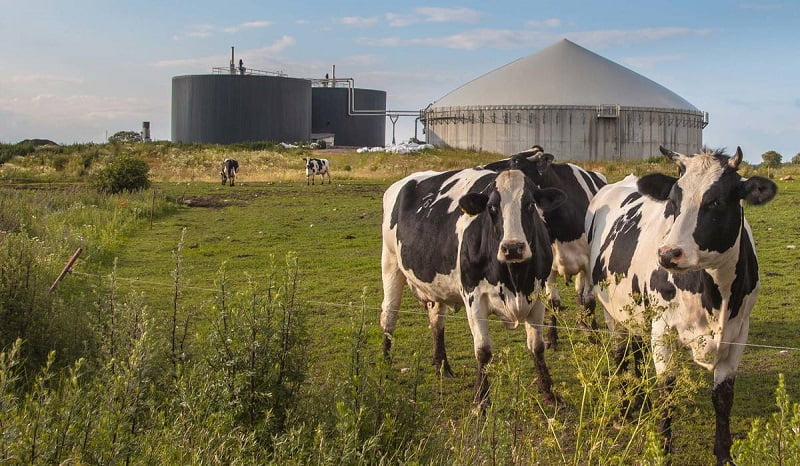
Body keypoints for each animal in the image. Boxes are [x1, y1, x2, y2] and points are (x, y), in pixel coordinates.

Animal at [380, 155, 567, 407]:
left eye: (529, 205)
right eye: (491, 208)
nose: (513, 248)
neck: (514, 279)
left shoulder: (536, 296)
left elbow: (536, 347)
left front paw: (549, 392)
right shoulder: (474, 297)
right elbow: (483, 351)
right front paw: (480, 400)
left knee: (436, 321)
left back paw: (442, 366)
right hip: (390, 263)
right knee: (389, 314)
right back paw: (385, 364)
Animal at [484, 145, 607, 349]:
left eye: (516, 162)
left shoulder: (589, 263)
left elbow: (589, 300)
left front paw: (594, 335)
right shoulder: (549, 266)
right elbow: (553, 302)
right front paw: (551, 337)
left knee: (582, 294)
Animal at [582, 146, 777, 464]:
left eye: (716, 202)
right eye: (673, 201)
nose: (668, 254)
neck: (715, 296)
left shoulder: (739, 333)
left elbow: (723, 397)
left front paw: (724, 454)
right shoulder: (663, 330)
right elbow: (667, 391)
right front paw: (662, 450)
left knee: (636, 351)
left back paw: (639, 401)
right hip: (613, 310)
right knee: (621, 355)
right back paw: (624, 410)